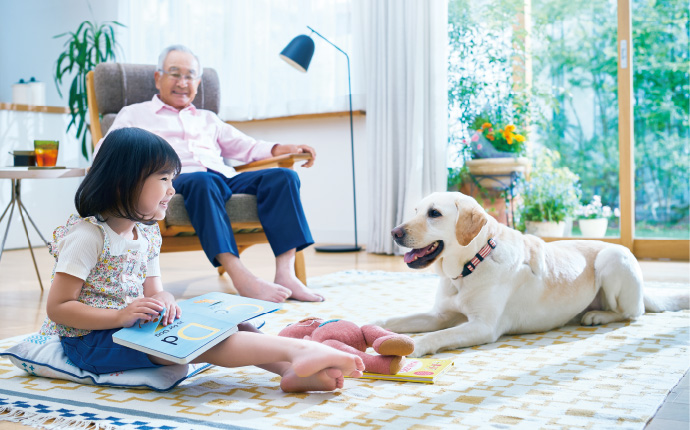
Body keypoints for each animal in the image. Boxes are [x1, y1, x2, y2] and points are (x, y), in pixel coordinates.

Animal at [376, 191, 688, 356]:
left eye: (434, 214)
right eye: (416, 210)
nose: (393, 232)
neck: (468, 268)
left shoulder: (482, 326)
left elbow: (438, 336)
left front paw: (413, 345)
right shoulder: (439, 315)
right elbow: (394, 320)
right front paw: (373, 325)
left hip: (612, 259)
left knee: (632, 313)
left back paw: (596, 316)